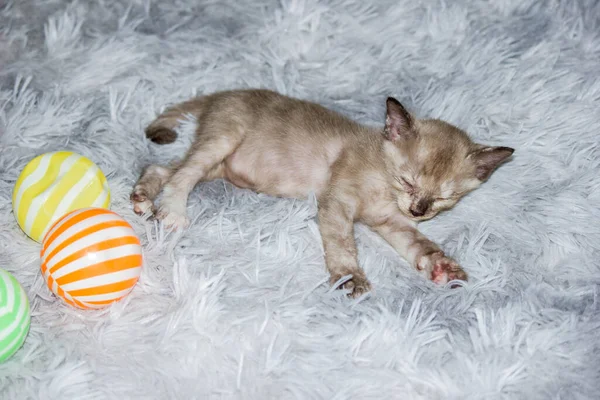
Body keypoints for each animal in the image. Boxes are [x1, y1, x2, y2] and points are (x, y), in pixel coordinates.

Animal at [132, 90, 516, 296]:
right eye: (408, 181)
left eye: (443, 198)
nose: (419, 211)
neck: (384, 186)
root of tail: (225, 93)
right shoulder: (337, 203)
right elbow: (342, 244)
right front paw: (351, 278)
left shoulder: (391, 222)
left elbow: (420, 245)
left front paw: (442, 269)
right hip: (223, 139)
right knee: (182, 174)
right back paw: (172, 212)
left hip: (219, 165)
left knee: (162, 168)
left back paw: (142, 198)